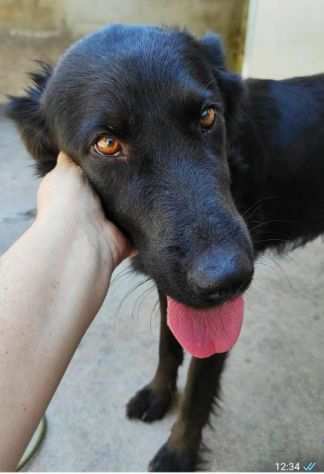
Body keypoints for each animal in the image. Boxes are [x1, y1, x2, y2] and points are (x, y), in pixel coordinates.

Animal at [6, 25, 324, 470]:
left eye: (207, 116)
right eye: (107, 144)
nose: (228, 278)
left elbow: (198, 389)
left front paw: (179, 452)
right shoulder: (170, 282)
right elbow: (168, 344)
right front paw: (158, 395)